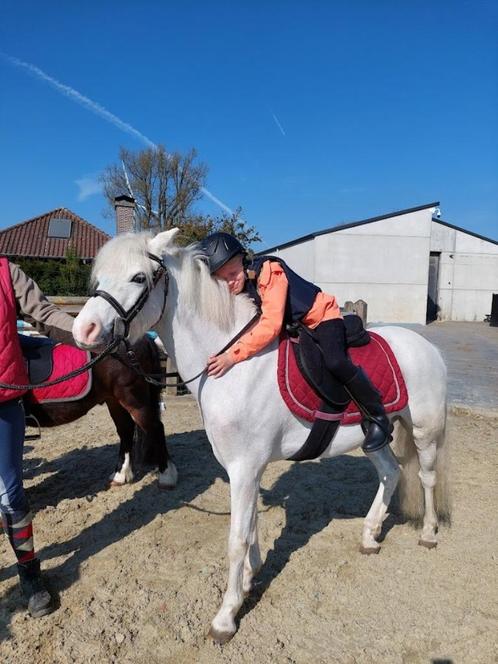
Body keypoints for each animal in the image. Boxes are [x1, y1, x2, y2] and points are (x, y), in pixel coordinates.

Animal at [73, 232, 452, 644]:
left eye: (139, 277)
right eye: (99, 278)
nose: (83, 331)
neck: (233, 365)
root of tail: (425, 346)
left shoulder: (244, 468)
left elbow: (237, 540)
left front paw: (226, 616)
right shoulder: (245, 470)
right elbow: (252, 528)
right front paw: (249, 581)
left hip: (425, 431)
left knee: (426, 477)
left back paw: (429, 533)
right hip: (374, 437)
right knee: (390, 472)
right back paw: (369, 535)